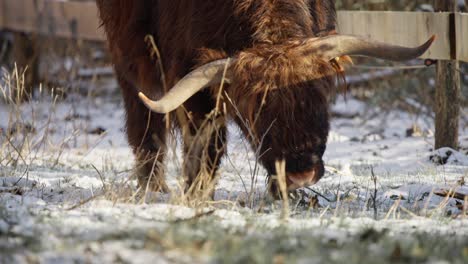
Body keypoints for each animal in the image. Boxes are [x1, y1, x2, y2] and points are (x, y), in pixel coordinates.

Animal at [96, 0, 436, 198]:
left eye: (320, 95)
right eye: (253, 111)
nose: (300, 175)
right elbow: (206, 146)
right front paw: (198, 196)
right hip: (131, 67)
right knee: (146, 131)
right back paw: (153, 188)